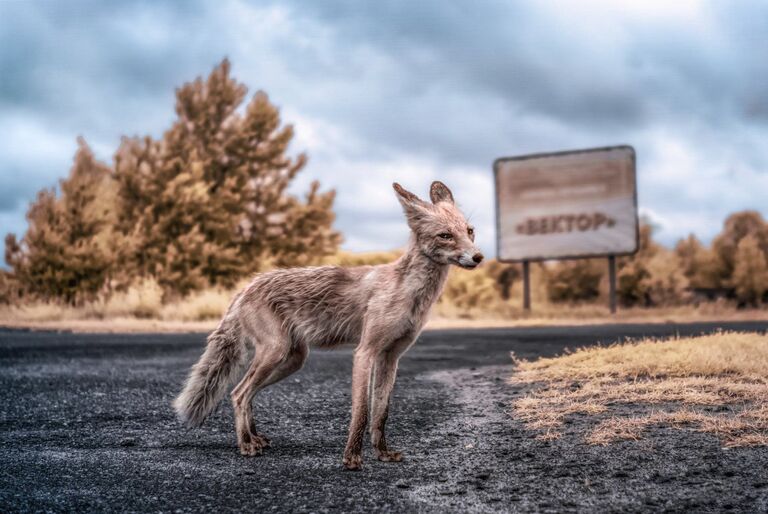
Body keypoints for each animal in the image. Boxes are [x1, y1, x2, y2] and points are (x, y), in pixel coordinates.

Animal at [177, 181, 484, 468]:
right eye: (445, 236)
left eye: (470, 231)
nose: (478, 257)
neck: (410, 294)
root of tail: (248, 285)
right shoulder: (365, 351)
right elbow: (361, 412)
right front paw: (352, 458)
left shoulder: (391, 356)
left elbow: (381, 412)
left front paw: (382, 453)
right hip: (275, 353)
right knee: (238, 394)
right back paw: (245, 444)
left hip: (292, 360)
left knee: (247, 394)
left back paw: (255, 438)